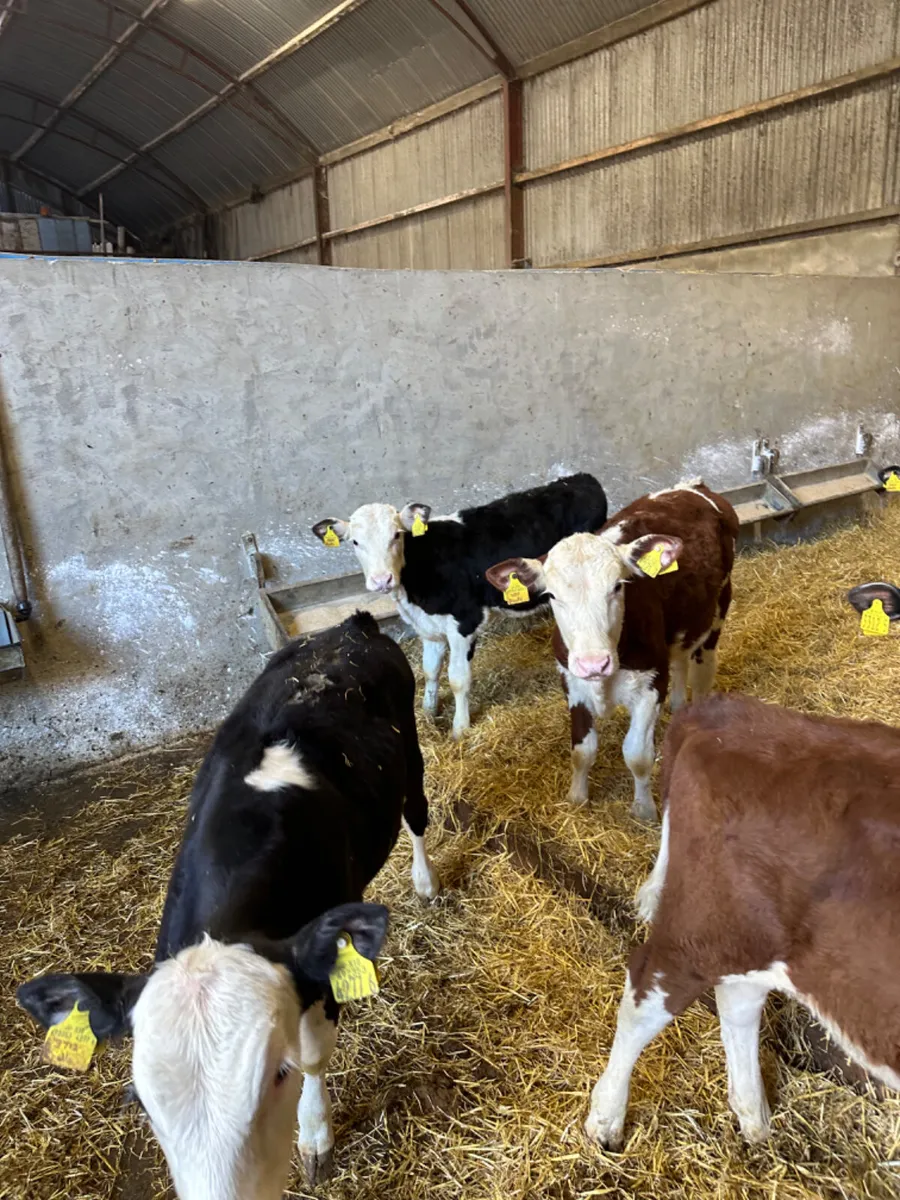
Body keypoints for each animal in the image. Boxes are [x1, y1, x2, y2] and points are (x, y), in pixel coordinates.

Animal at [17, 612, 440, 1200]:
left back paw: (425, 882)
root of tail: (349, 626)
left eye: (278, 1074)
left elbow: (315, 1056)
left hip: (412, 753)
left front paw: (315, 1138)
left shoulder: (318, 962)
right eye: (141, 1102)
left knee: (417, 814)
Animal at [312, 473, 607, 740]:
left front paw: (459, 728)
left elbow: (457, 679)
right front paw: (428, 711)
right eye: (355, 542)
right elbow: (430, 670)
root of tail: (580, 479)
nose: (381, 580)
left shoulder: (464, 622)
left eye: (396, 535)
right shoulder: (427, 627)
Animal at [485, 481, 738, 821]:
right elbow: (582, 750)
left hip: (719, 607)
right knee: (681, 658)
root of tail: (691, 486)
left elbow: (637, 754)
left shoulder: (650, 684)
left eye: (618, 586)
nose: (594, 663)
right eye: (551, 595)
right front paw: (577, 797)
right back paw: (678, 705)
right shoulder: (572, 682)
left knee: (702, 672)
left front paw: (644, 809)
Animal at [585, 692, 900, 1150]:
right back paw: (606, 1119)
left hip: (756, 944)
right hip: (708, 929)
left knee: (737, 1005)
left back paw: (756, 1123)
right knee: (646, 996)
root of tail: (728, 714)